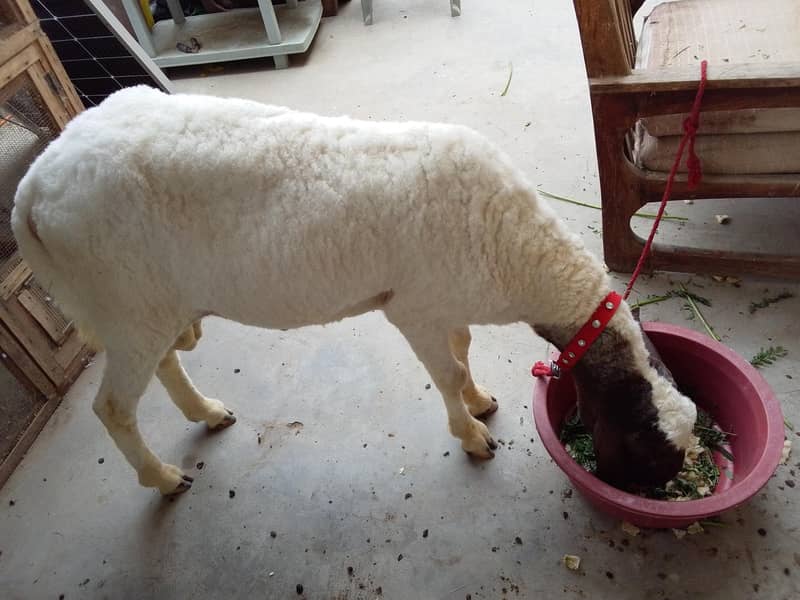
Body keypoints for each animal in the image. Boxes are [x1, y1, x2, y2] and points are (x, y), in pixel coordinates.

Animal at [12, 86, 696, 495]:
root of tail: (33, 188)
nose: (656, 498)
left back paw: (205, 412)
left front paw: (479, 402)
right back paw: (161, 477)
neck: (517, 250)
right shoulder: (412, 309)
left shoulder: (441, 299)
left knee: (163, 365)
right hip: (125, 302)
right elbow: (447, 371)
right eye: (647, 452)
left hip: (147, 304)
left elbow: (462, 349)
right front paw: (472, 436)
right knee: (113, 407)